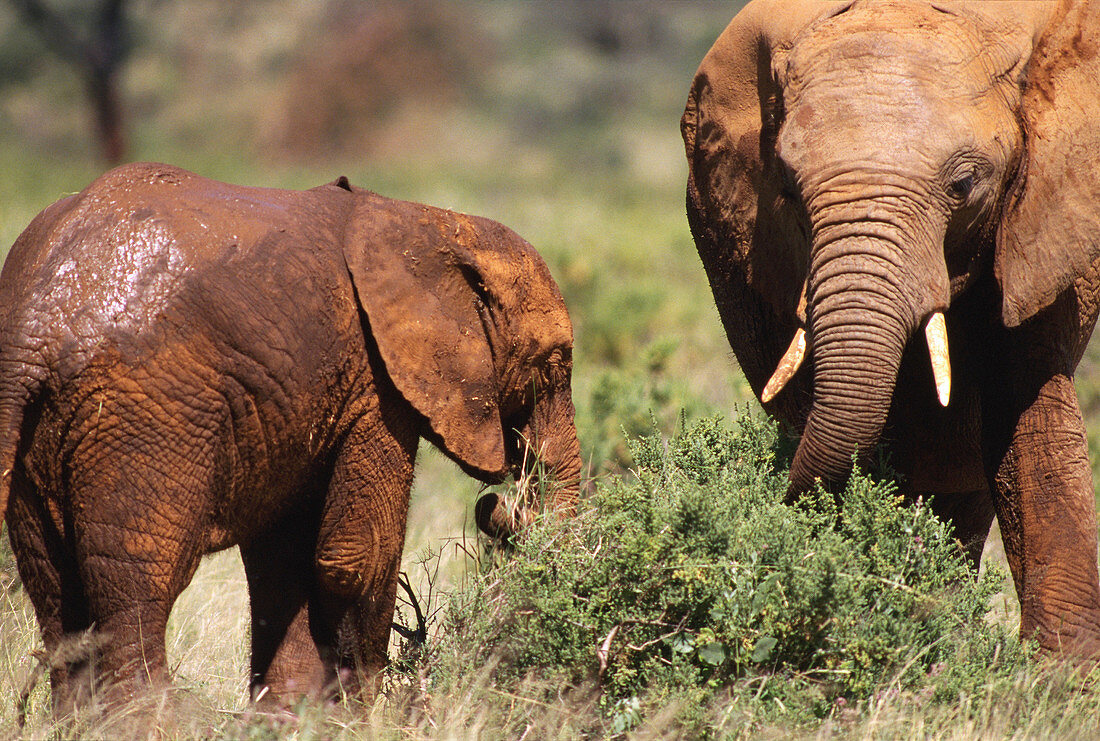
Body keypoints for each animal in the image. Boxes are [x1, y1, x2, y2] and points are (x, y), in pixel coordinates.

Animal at [0, 162, 585, 708]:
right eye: (556, 364)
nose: (495, 504)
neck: (432, 223)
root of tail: (34, 324)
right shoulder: (377, 386)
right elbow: (360, 557)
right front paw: (362, 721)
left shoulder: (296, 398)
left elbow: (283, 561)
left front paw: (291, 717)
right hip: (146, 420)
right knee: (135, 591)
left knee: (55, 593)